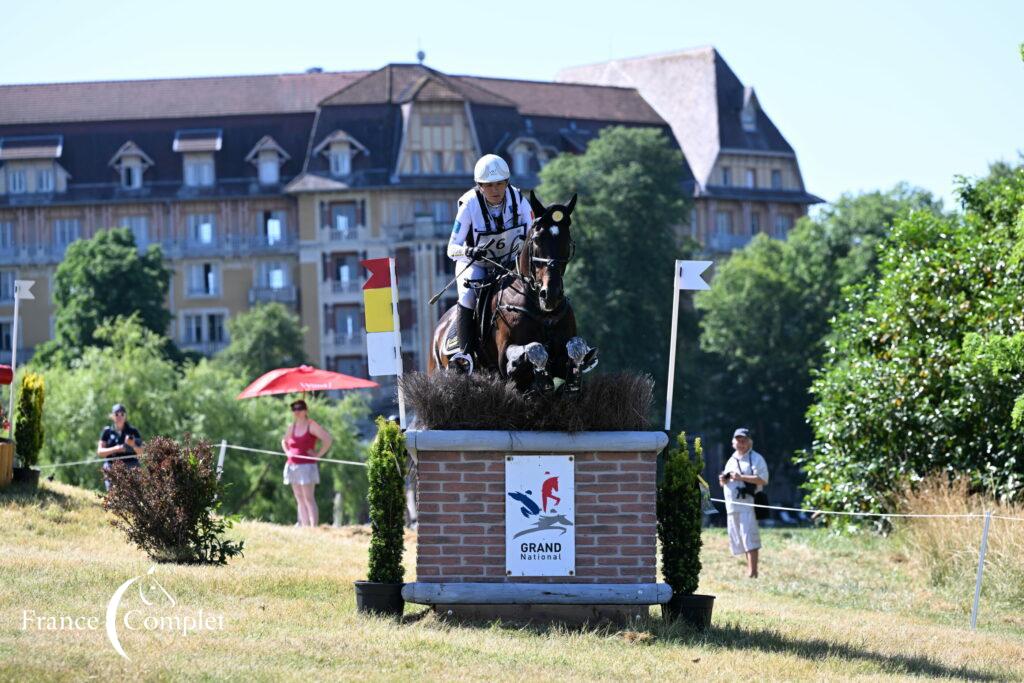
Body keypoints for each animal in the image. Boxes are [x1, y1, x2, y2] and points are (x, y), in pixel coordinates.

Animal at [425, 189, 598, 393]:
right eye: (537, 240)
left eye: (567, 241)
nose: (551, 295)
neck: (540, 309)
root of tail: (439, 328)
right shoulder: (506, 362)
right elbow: (534, 349)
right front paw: (543, 381)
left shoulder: (561, 356)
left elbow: (575, 346)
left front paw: (571, 381)